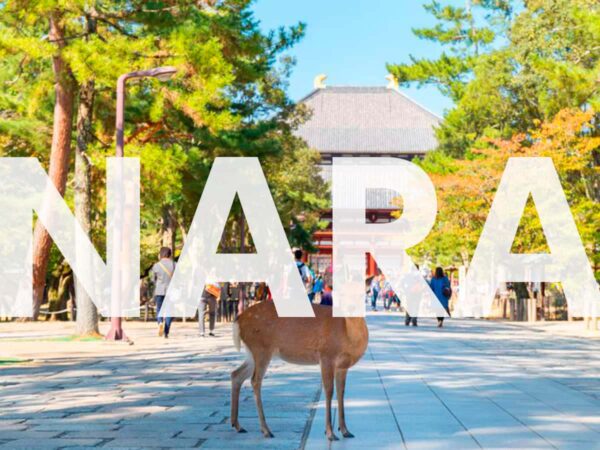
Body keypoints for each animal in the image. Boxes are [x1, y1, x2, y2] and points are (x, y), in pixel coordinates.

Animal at [231, 300, 368, 442]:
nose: (350, 307)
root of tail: (239, 319)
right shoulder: (326, 355)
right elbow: (329, 391)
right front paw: (330, 433)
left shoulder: (342, 366)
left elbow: (341, 392)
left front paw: (345, 430)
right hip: (260, 348)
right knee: (255, 380)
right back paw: (266, 430)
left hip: (252, 353)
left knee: (236, 374)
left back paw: (238, 425)